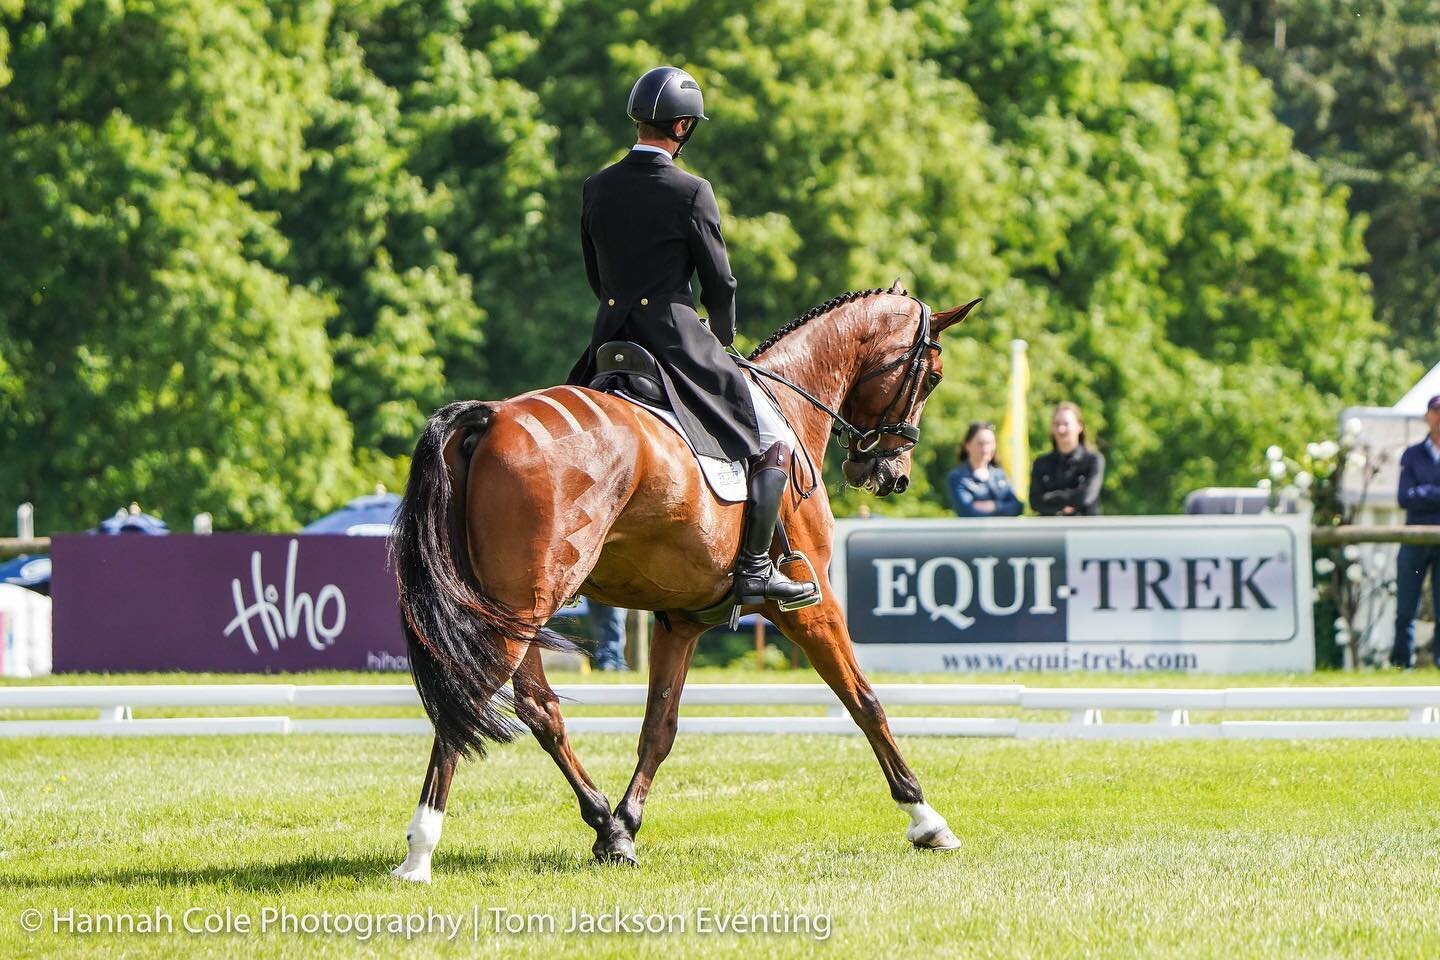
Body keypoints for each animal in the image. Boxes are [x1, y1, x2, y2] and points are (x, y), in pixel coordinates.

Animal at [391, 282, 979, 880]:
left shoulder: (683, 619)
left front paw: (625, 827)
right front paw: (926, 818)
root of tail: (491, 417)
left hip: (516, 607)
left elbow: (660, 726)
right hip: (523, 606)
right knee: (469, 701)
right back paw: (420, 851)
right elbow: (864, 701)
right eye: (932, 376)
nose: (890, 475)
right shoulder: (810, 604)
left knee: (539, 709)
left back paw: (602, 822)